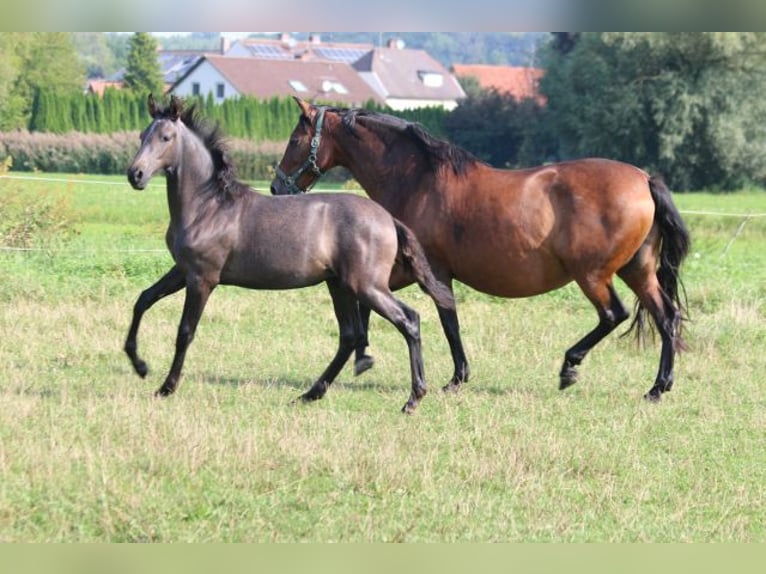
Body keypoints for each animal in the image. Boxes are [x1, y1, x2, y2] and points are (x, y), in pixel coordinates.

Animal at [126, 97, 456, 416]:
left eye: (166, 137)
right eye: (142, 135)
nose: (135, 175)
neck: (208, 207)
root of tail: (389, 219)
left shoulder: (202, 278)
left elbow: (185, 331)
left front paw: (166, 387)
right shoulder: (182, 271)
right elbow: (143, 299)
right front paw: (139, 365)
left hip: (367, 286)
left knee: (408, 320)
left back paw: (413, 398)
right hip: (339, 285)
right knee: (350, 335)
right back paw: (310, 395)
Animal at [272, 98, 692, 404]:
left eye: (294, 140)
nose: (277, 189)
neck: (418, 181)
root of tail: (644, 178)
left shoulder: (428, 271)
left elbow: (446, 322)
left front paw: (454, 378)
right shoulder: (401, 271)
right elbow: (389, 310)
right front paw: (366, 355)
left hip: (592, 275)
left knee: (613, 314)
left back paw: (570, 366)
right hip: (637, 271)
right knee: (666, 317)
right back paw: (658, 387)